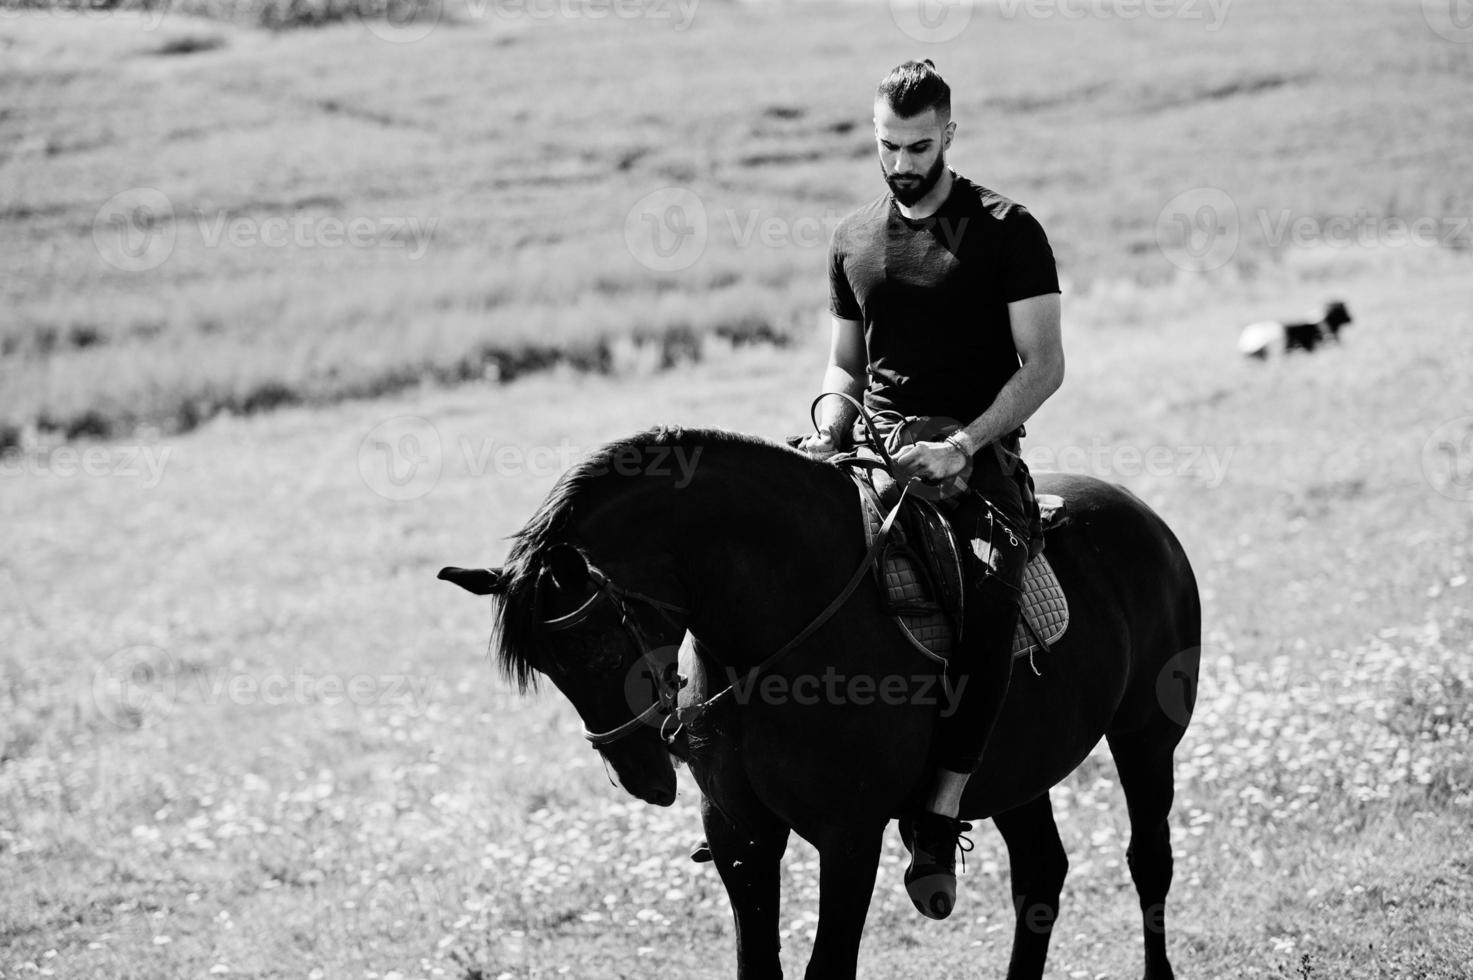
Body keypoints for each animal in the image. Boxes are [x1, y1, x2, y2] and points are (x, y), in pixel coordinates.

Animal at [441, 427, 1201, 978]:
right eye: (548, 666)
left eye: (594, 644)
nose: (639, 776)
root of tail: (1142, 517)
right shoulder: (738, 834)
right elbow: (759, 967)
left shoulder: (850, 837)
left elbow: (825, 971)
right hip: (1018, 769)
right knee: (1041, 875)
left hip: (1145, 738)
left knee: (1149, 861)